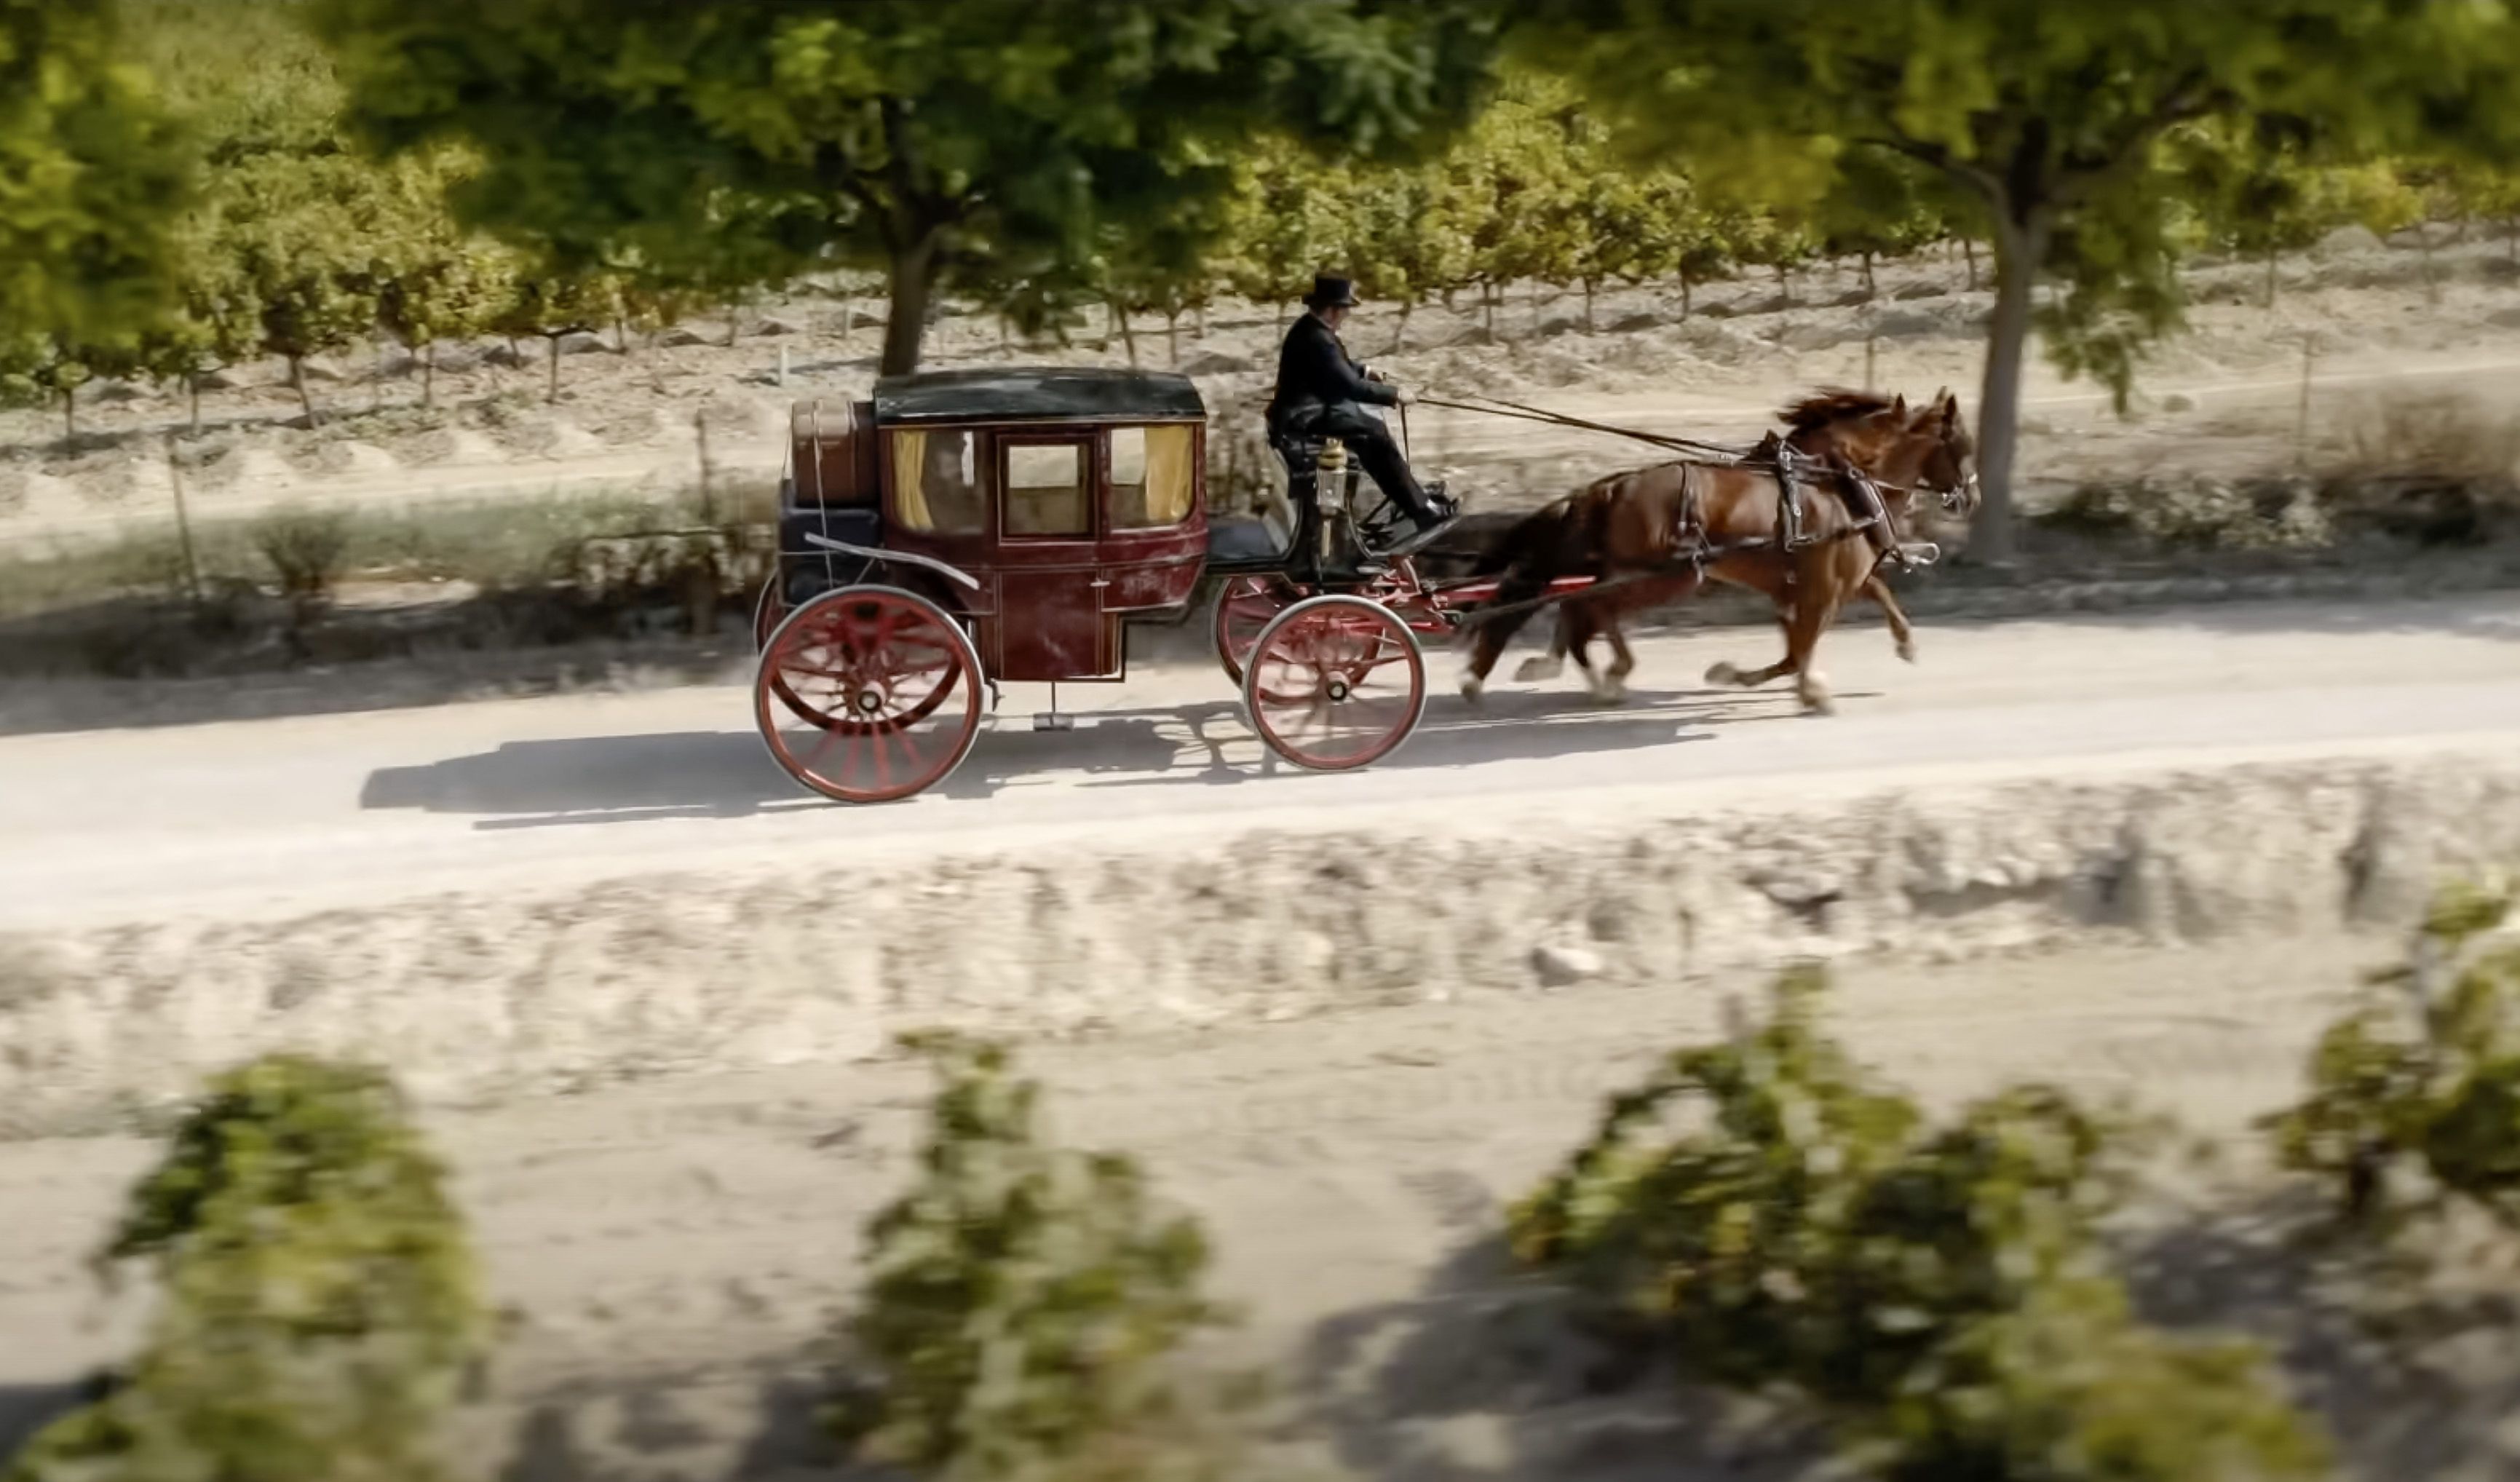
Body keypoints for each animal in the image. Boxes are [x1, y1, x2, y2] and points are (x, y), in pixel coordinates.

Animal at [1471, 390, 1976, 716]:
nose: (1971, 498)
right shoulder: (1821, 589)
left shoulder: (1823, 584)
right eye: (1963, 445)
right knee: (1591, 607)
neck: (1835, 483)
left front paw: (1905, 643)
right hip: (1662, 577)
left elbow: (1866, 603)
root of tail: (1610, 488)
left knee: (1583, 608)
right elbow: (1801, 647)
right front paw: (1798, 690)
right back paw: (1601, 674)